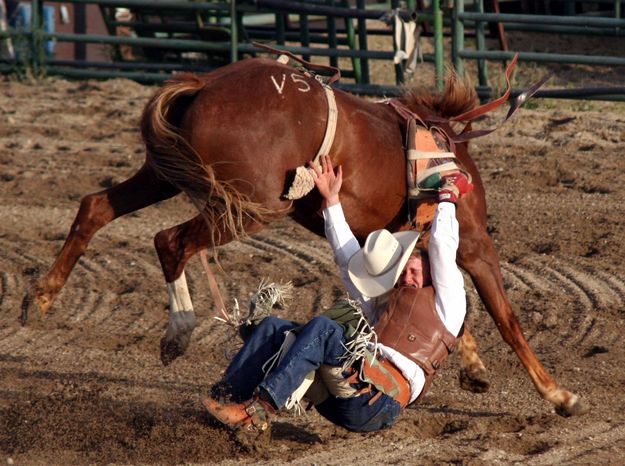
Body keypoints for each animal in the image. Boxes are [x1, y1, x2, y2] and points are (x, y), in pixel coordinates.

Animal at [19, 56, 584, 416]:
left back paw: (40, 297)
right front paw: (557, 396)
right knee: (170, 242)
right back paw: (177, 331)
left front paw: (474, 368)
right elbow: (505, 318)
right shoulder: (474, 242)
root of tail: (204, 84)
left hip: (165, 174)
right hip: (247, 208)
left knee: (95, 208)